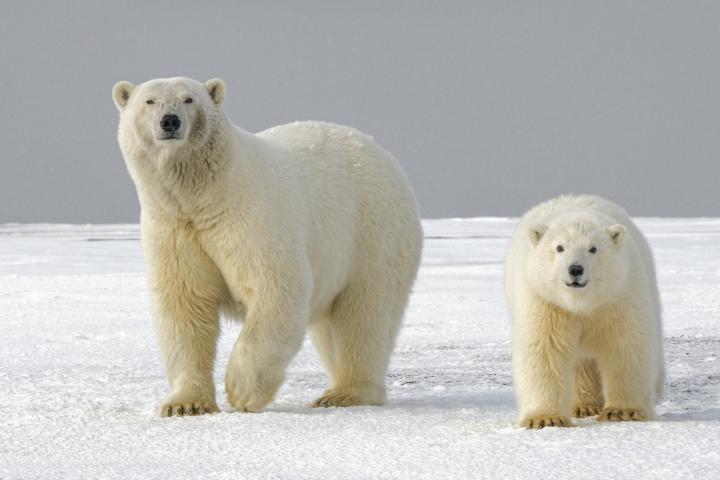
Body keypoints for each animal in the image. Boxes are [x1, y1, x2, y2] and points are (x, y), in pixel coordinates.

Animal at [112, 77, 423, 416]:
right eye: (149, 101)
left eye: (188, 99)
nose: (170, 121)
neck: (205, 196)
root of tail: (382, 153)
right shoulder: (174, 228)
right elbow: (185, 305)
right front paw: (185, 404)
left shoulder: (250, 216)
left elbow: (275, 287)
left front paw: (242, 391)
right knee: (332, 327)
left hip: (372, 233)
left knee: (364, 313)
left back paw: (346, 393)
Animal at [504, 194, 665, 429]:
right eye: (559, 247)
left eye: (593, 248)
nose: (575, 269)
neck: (581, 303)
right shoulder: (545, 301)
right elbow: (544, 350)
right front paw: (546, 419)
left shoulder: (618, 296)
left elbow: (626, 346)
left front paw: (622, 412)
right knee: (581, 363)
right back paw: (584, 406)